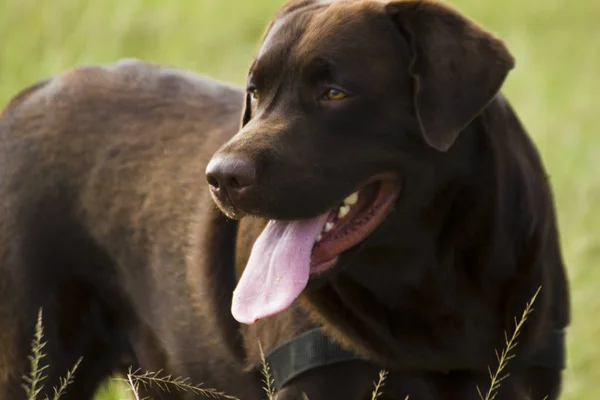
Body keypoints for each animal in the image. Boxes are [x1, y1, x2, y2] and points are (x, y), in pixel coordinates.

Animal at [0, 0, 568, 400]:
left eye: (334, 93)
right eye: (255, 92)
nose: (219, 177)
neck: (431, 279)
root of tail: (28, 96)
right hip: (33, 359)